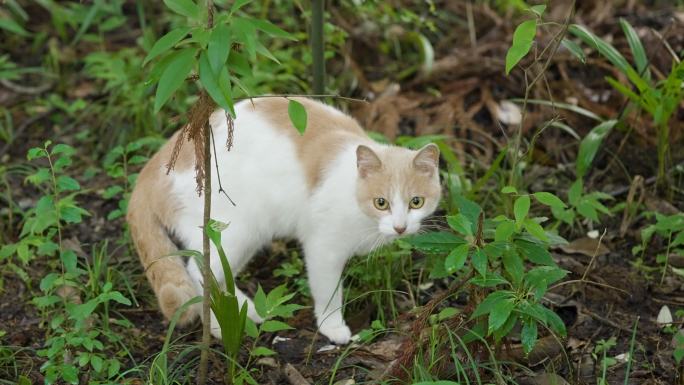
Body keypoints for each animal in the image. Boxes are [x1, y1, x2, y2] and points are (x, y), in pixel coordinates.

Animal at [126, 97, 440, 344]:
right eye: (381, 203)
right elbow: (328, 290)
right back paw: (220, 327)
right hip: (236, 229)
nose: (400, 227)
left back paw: (242, 309)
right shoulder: (322, 247)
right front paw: (332, 326)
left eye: (416, 202)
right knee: (200, 271)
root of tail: (155, 164)